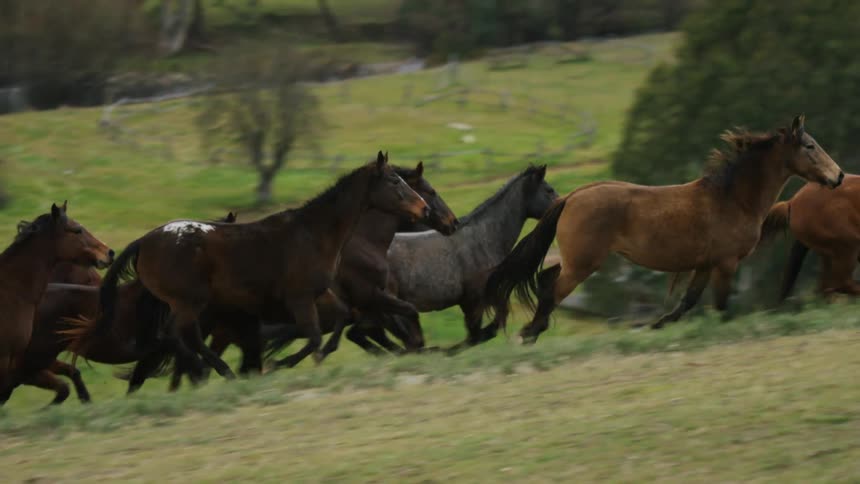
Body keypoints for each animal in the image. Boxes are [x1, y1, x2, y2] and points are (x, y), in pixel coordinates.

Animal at [87, 152, 428, 385]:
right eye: (394, 181)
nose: (423, 208)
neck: (313, 233)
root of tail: (145, 241)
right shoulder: (300, 299)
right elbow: (313, 338)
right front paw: (282, 364)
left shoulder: (318, 296)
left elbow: (336, 322)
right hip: (190, 302)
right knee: (180, 336)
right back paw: (215, 370)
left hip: (185, 305)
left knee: (177, 337)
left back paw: (208, 371)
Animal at [348, 164, 557, 353]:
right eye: (549, 190)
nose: (561, 203)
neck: (483, 238)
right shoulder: (473, 301)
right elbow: (478, 334)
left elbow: (487, 329)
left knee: (363, 334)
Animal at [485, 115, 844, 343]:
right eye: (810, 146)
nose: (838, 176)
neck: (733, 198)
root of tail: (572, 197)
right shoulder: (726, 263)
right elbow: (720, 307)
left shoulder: (705, 265)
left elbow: (687, 303)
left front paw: (655, 326)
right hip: (583, 263)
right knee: (552, 290)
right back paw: (529, 333)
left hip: (576, 261)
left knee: (546, 281)